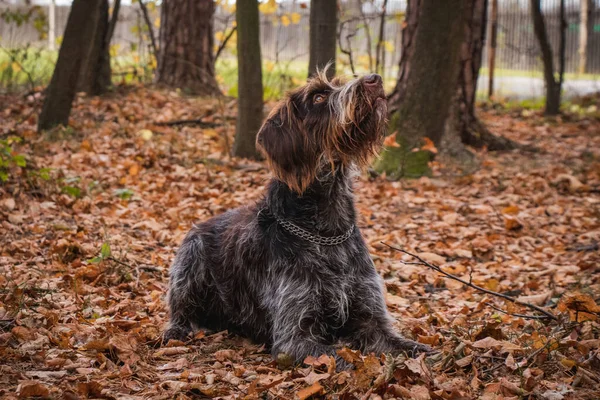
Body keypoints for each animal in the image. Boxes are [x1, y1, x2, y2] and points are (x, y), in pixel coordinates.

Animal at [164, 69, 432, 368]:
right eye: (318, 97)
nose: (374, 78)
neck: (327, 232)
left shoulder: (372, 319)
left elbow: (416, 348)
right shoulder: (294, 337)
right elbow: (344, 362)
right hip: (189, 260)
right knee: (180, 311)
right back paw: (176, 330)